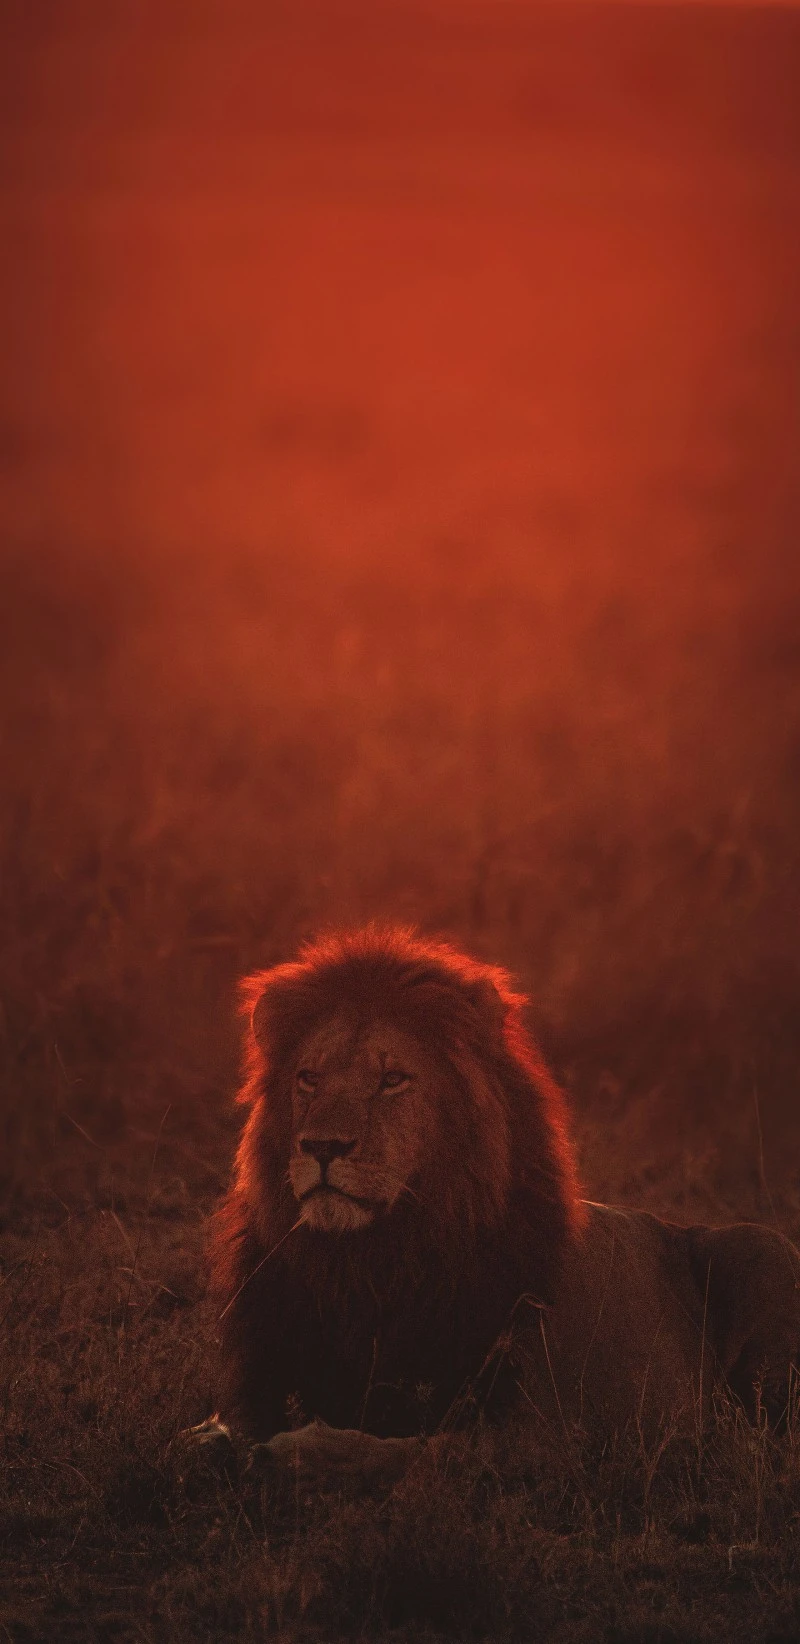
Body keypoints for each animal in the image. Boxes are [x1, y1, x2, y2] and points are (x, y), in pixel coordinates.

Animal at [200, 926, 800, 1481]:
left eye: (392, 1079)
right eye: (309, 1078)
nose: (322, 1147)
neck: (368, 1265)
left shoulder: (547, 1433)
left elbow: (417, 1453)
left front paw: (301, 1451)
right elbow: (216, 1434)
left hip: (761, 1250)